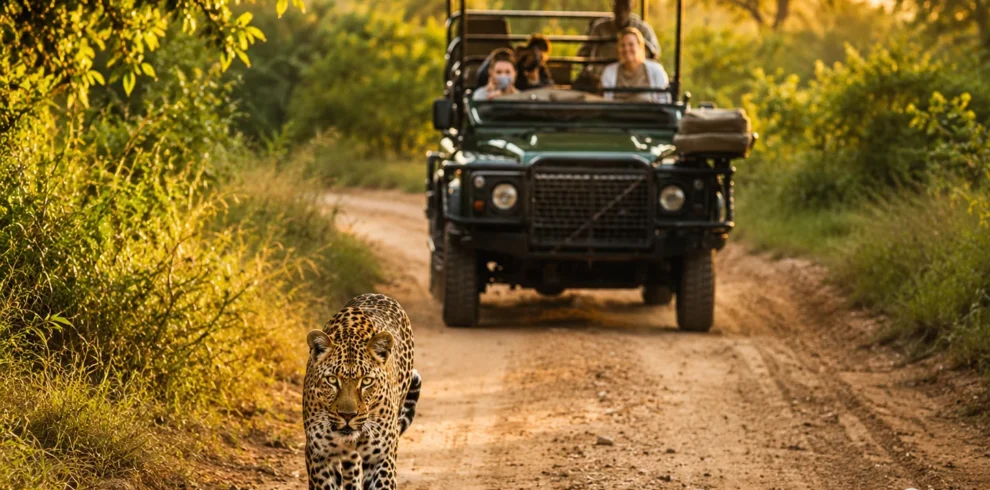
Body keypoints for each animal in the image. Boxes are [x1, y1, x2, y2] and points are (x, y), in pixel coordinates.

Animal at [304, 293, 420, 490]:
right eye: (332, 380)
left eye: (366, 381)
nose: (347, 415)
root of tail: (378, 294)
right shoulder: (319, 455)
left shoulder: (381, 456)